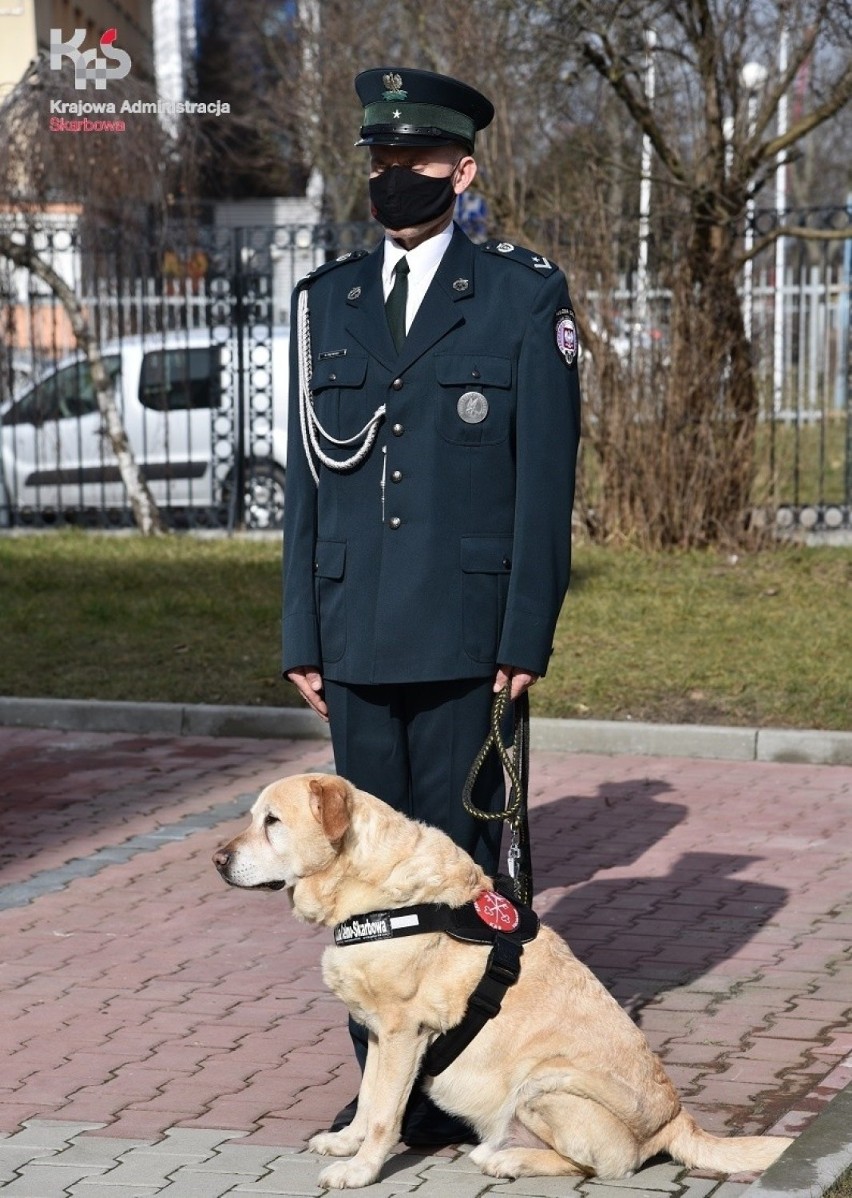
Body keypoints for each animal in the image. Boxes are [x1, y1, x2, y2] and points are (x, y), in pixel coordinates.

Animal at [213, 776, 790, 1188]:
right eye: (253, 817)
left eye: (273, 821)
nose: (217, 859)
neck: (372, 891)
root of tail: (678, 1120)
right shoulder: (378, 1032)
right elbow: (370, 1096)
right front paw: (346, 1143)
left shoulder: (403, 1032)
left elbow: (384, 1114)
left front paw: (361, 1170)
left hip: (546, 1084)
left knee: (600, 1167)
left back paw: (507, 1161)